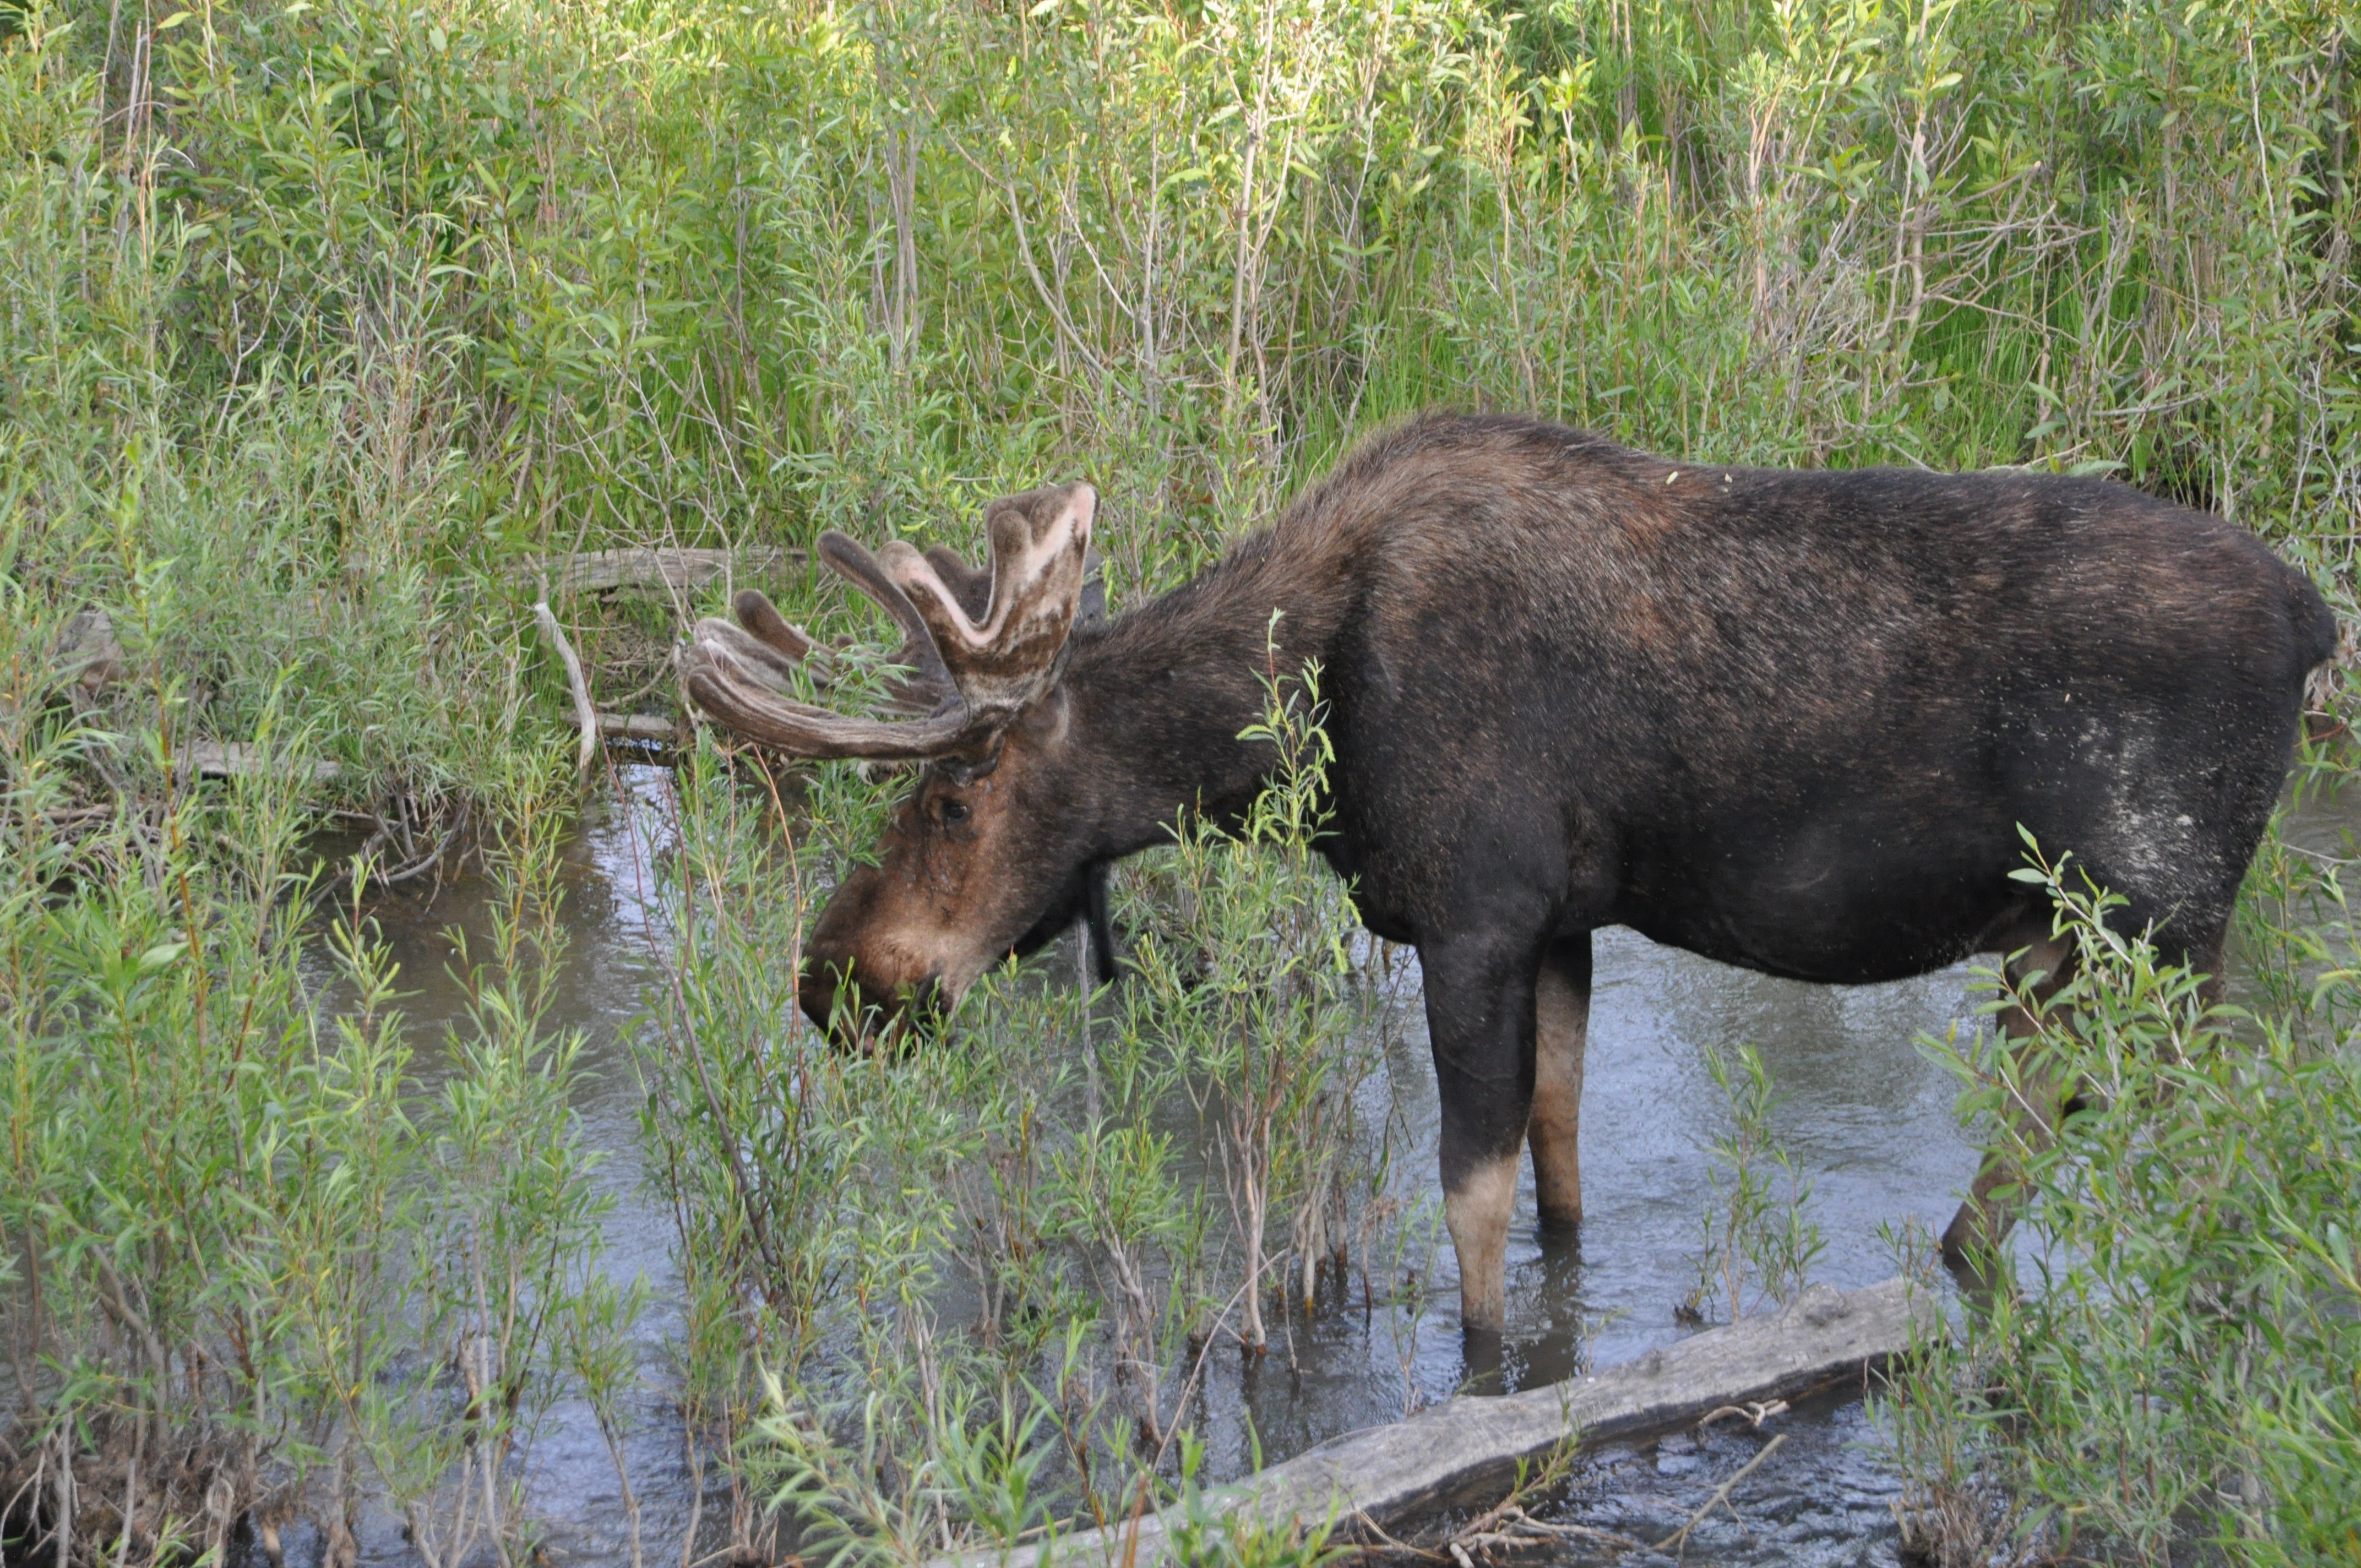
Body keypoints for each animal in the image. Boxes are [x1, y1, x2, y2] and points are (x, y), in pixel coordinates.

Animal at [675, 411, 2332, 1332]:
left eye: (957, 792)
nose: (834, 980)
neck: (1303, 716)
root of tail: (2317, 621)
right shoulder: (1563, 923)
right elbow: (1555, 1165)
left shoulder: (1469, 917)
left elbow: (1466, 1206)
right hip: (2084, 941)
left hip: (2161, 919)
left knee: (2220, 1138)